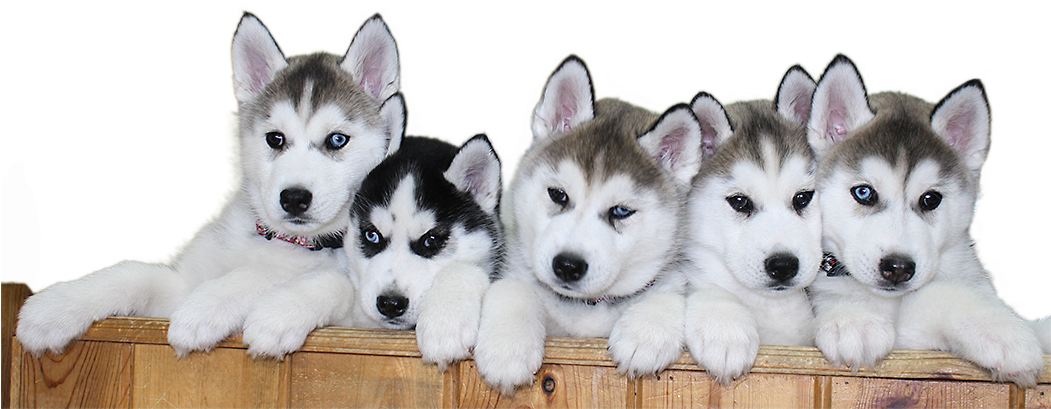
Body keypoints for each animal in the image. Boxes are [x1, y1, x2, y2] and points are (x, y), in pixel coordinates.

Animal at [20, 7, 407, 357]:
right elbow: (134, 274)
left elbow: (263, 275)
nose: (294, 198)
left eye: (337, 140)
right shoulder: (181, 283)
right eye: (275, 139)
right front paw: (54, 307)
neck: (284, 240)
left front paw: (205, 309)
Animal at [472, 53, 702, 391]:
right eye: (558, 194)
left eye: (620, 211)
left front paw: (646, 331)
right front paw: (507, 346)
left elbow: (669, 291)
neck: (585, 306)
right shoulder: (518, 270)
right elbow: (515, 288)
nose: (567, 265)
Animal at [802, 50, 1042, 384]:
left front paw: (1002, 331)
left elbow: (941, 294)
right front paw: (851, 319)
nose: (898, 268)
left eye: (930, 199)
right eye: (863, 193)